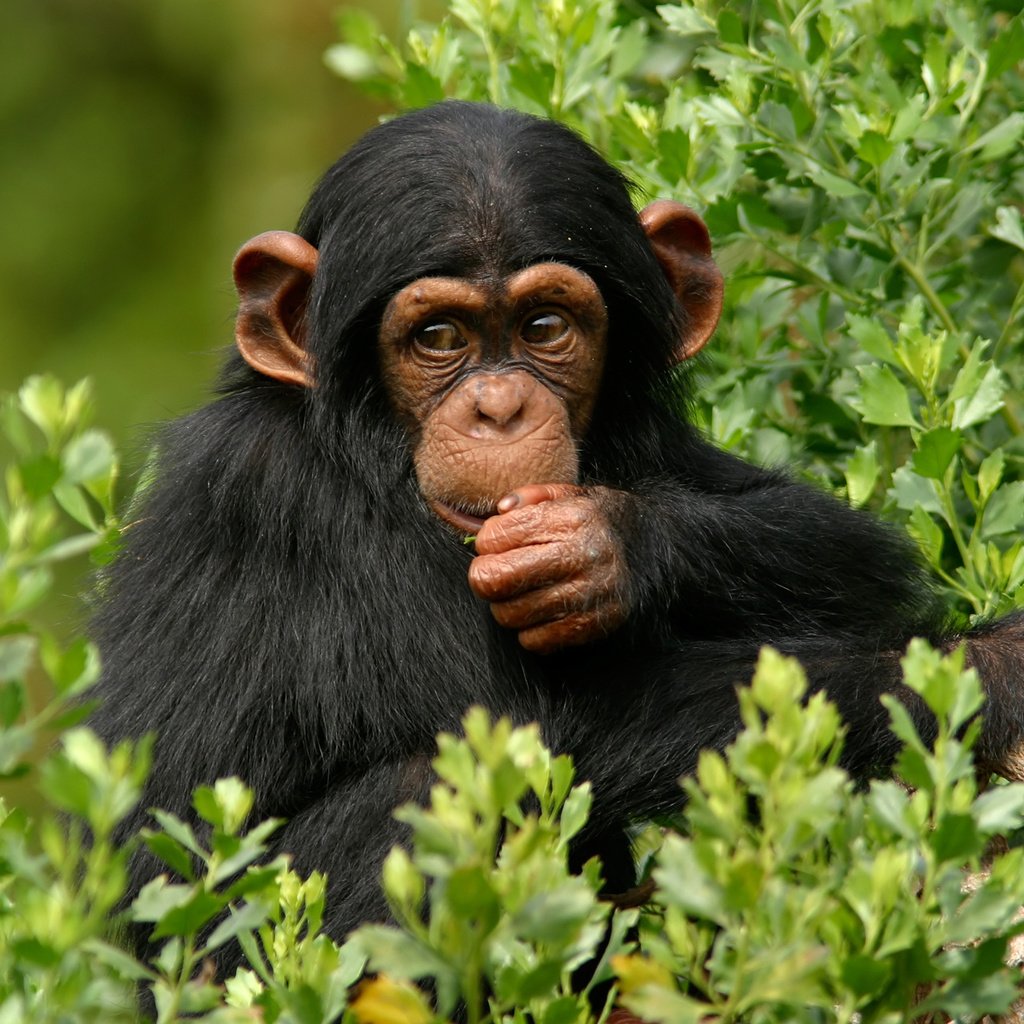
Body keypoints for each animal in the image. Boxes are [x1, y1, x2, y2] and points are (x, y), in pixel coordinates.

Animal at [88, 101, 1024, 966]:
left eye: (544, 327)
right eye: (438, 337)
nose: (499, 407)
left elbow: (844, 550)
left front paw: (605, 546)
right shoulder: (286, 502)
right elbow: (526, 727)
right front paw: (996, 667)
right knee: (429, 791)